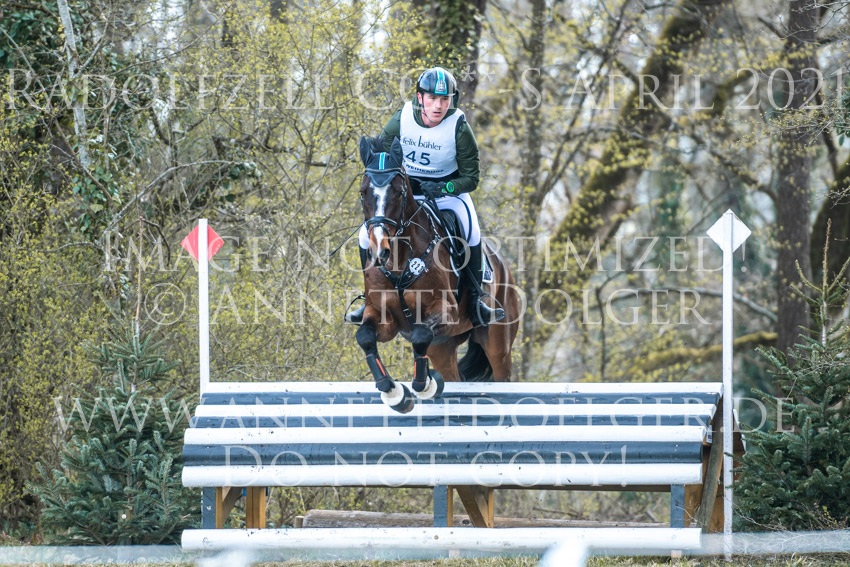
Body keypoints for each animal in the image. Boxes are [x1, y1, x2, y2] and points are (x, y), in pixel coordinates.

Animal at [353, 136, 520, 413]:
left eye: (398, 192)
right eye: (363, 192)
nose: (380, 251)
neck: (400, 261)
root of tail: (502, 264)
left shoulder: (446, 312)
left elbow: (420, 332)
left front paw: (424, 385)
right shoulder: (383, 317)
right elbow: (365, 336)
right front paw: (394, 393)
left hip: (497, 343)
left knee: (502, 374)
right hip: (442, 346)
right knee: (453, 374)